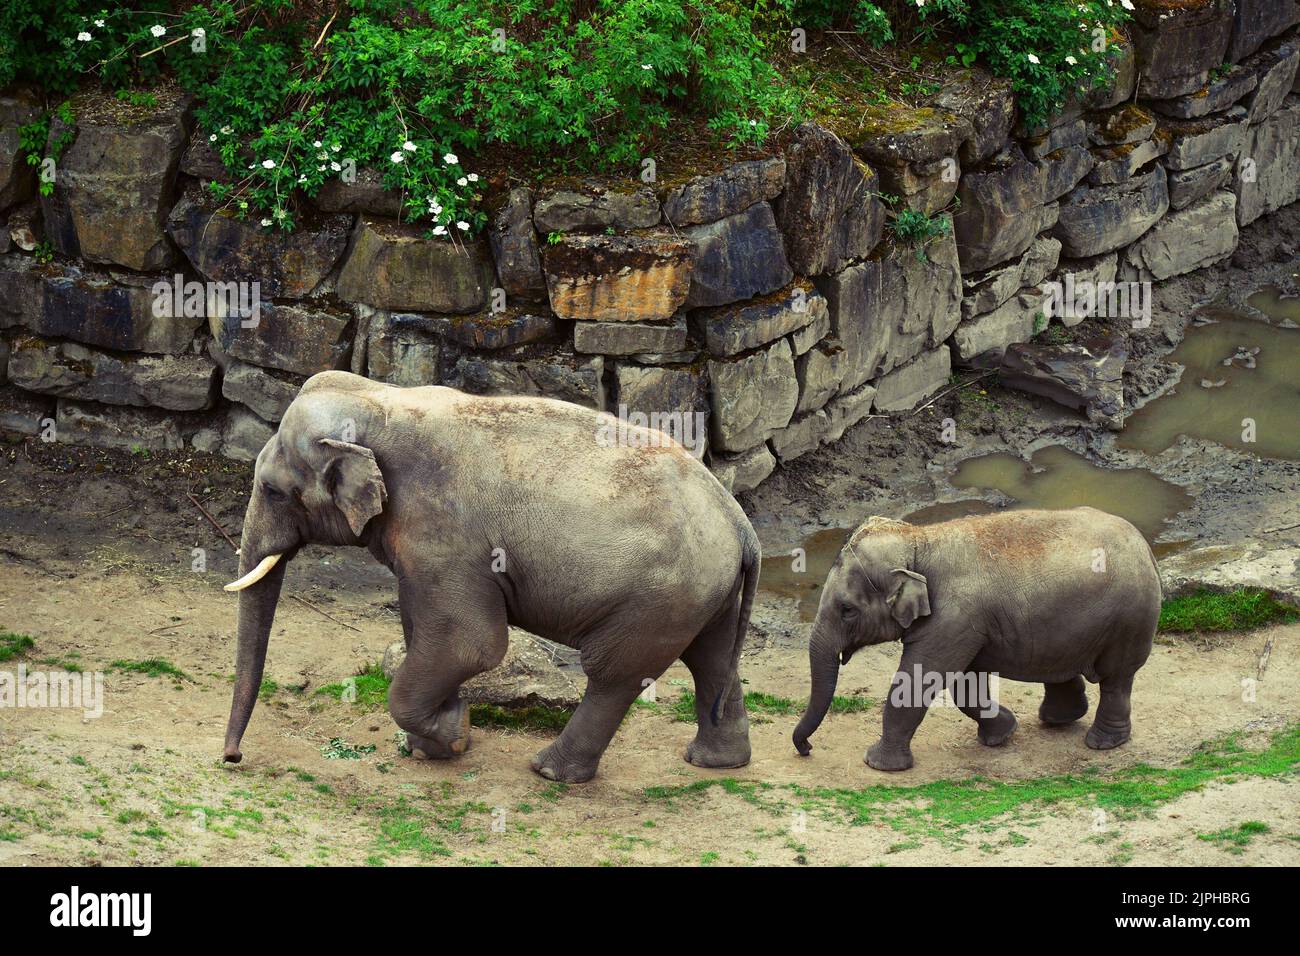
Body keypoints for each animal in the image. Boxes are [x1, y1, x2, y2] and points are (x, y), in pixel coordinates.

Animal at [221, 371, 759, 783]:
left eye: (272, 490)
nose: (232, 758)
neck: (381, 400)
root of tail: (739, 520)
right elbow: (424, 631)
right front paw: (433, 743)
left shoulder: (443, 531)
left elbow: (469, 643)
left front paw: (454, 734)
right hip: (702, 593)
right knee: (710, 658)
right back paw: (714, 762)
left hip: (660, 596)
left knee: (614, 672)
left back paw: (549, 771)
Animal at [792, 508, 1160, 771]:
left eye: (847, 610)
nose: (807, 749)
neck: (919, 541)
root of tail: (1146, 548)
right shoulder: (969, 623)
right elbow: (965, 684)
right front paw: (1003, 733)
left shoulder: (954, 617)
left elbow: (919, 679)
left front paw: (878, 764)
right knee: (1062, 667)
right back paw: (1059, 720)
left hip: (1128, 621)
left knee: (1116, 679)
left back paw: (1102, 743)